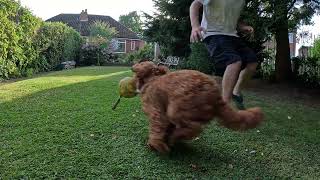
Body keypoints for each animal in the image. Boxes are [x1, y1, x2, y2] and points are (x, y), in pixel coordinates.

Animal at [131, 60, 264, 153]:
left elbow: (157, 127)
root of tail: (216, 96)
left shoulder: (157, 111)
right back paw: (174, 137)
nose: (132, 66)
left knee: (194, 128)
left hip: (177, 109)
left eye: (141, 63)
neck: (152, 80)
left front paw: (156, 144)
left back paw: (174, 137)